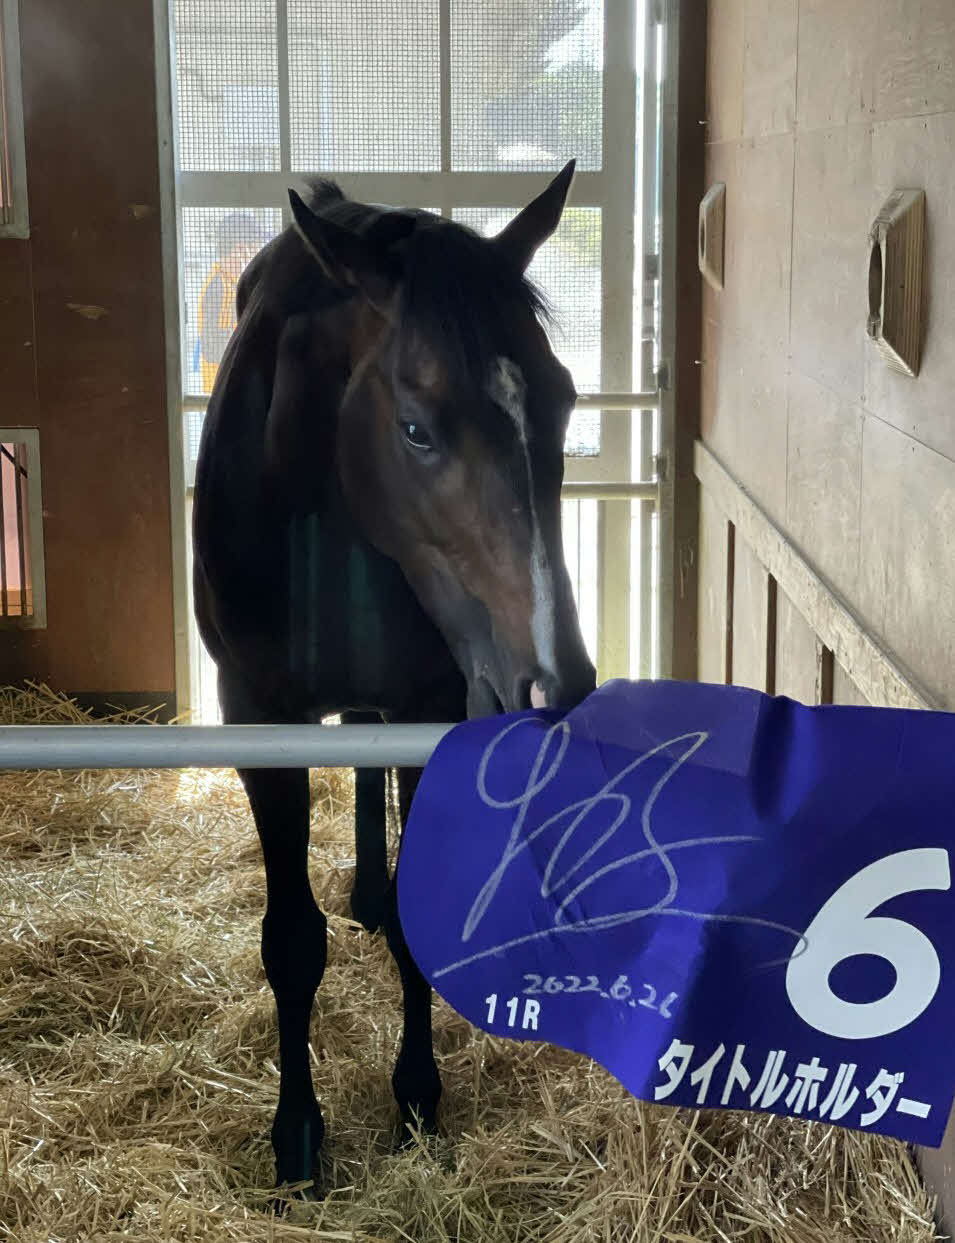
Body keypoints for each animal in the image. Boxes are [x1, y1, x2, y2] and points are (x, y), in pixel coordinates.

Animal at [191, 161, 597, 1190]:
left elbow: (418, 925)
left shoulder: (427, 706)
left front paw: (415, 1099)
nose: (558, 679)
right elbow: (290, 942)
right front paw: (298, 1132)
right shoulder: (259, 720)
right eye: (416, 429)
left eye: (563, 398)